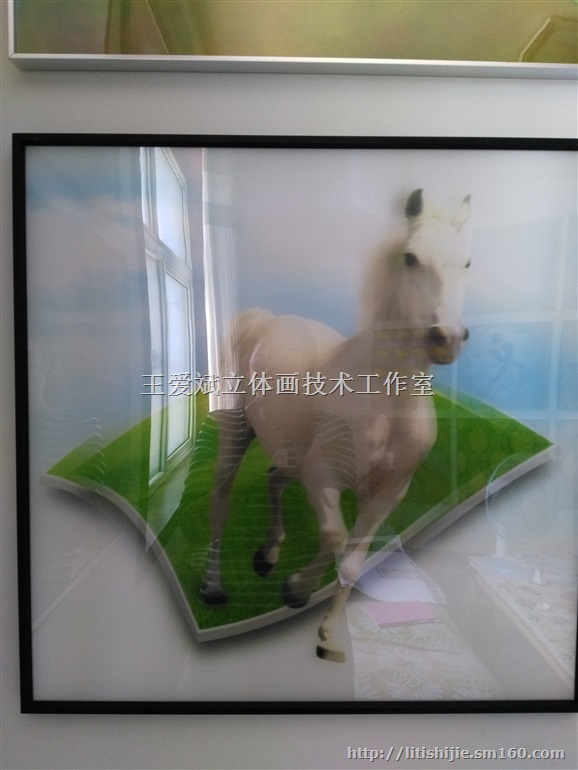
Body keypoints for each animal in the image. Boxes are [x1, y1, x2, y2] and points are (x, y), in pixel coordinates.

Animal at [199, 188, 472, 662]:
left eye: (468, 263)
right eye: (411, 257)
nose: (447, 339)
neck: (386, 400)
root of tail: (263, 319)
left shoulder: (388, 493)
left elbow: (353, 561)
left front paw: (327, 635)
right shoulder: (323, 475)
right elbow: (332, 535)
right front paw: (294, 591)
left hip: (287, 449)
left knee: (274, 477)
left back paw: (267, 554)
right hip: (236, 433)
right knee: (221, 501)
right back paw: (214, 587)